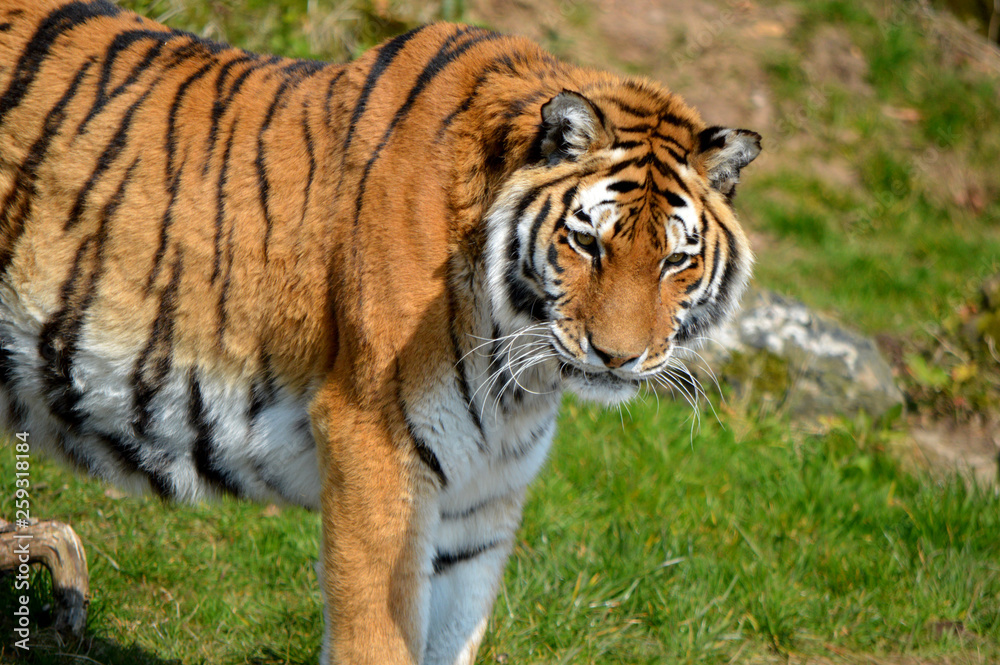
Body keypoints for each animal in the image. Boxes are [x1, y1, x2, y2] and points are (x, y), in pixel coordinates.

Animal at [0, 0, 756, 660]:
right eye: (588, 243)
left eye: (675, 260)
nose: (617, 356)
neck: (522, 375)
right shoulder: (375, 444)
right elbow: (378, 639)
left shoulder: (481, 504)